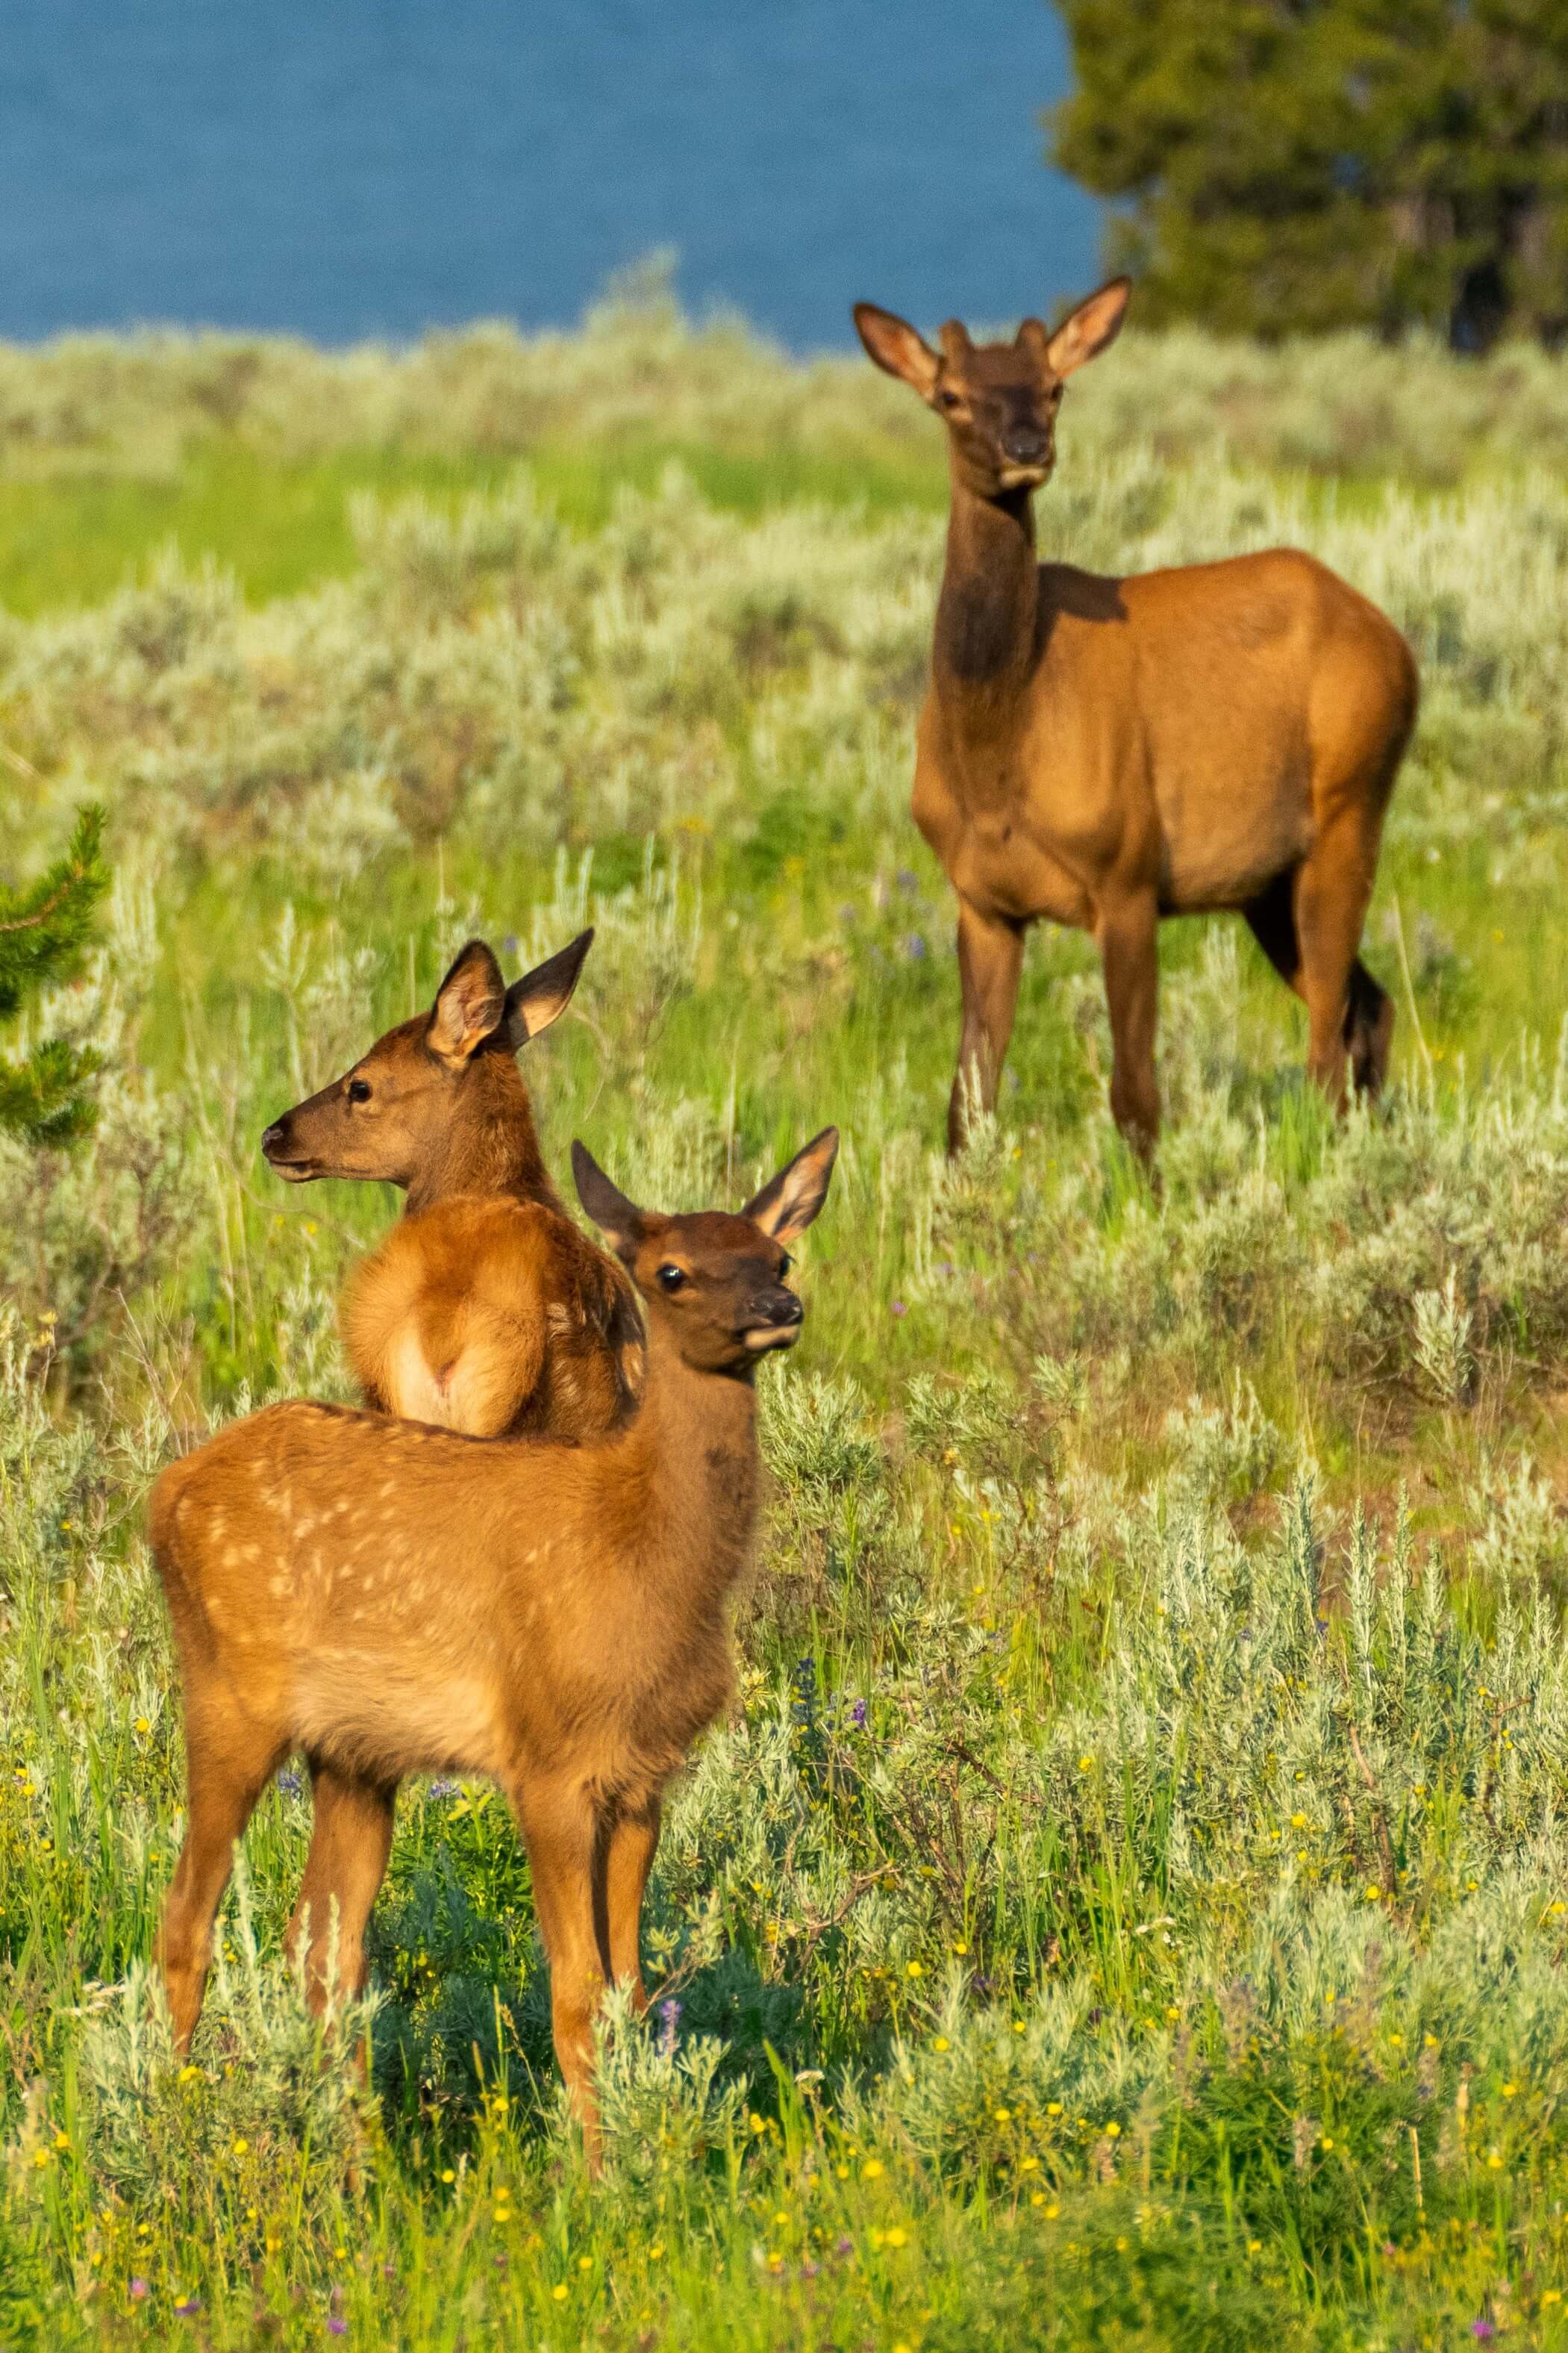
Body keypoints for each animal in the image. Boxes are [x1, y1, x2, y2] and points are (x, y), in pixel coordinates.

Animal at [146, 1129, 841, 2155]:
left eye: (777, 1257)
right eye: (670, 1271)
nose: (777, 1310)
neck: (643, 1562)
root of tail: (163, 1495)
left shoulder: (644, 1775)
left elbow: (631, 1986)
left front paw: (639, 2145)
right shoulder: (544, 1758)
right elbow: (576, 1990)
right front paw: (597, 2169)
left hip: (355, 1752)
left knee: (324, 1942)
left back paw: (360, 2158)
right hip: (228, 1695)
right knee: (187, 1916)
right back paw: (174, 2119)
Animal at [860, 275, 1419, 1157]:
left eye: (1053, 387)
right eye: (950, 395)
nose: (1027, 448)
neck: (997, 751)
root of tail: (1399, 647)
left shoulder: (1125, 871)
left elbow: (1134, 1095)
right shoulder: (981, 898)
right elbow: (968, 1101)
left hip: (1350, 807)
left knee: (1328, 1037)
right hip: (1266, 878)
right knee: (1368, 1007)